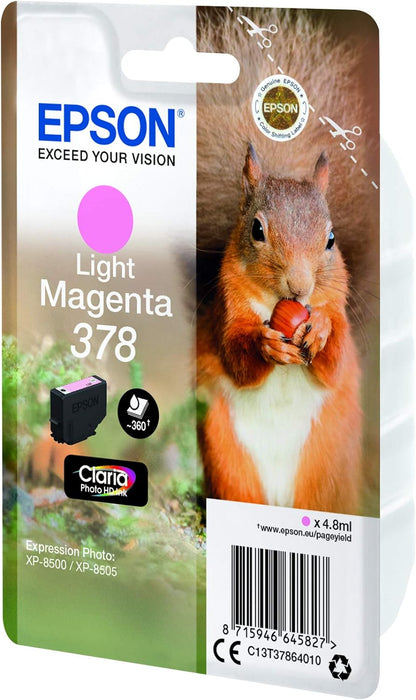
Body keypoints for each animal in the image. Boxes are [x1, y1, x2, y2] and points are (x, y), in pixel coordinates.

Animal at [195, 8, 379, 514]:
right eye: (257, 230)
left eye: (331, 239)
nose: (299, 288)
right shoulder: (227, 309)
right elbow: (236, 357)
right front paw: (265, 345)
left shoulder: (337, 306)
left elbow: (335, 360)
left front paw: (319, 330)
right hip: (227, 456)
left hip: (326, 466)